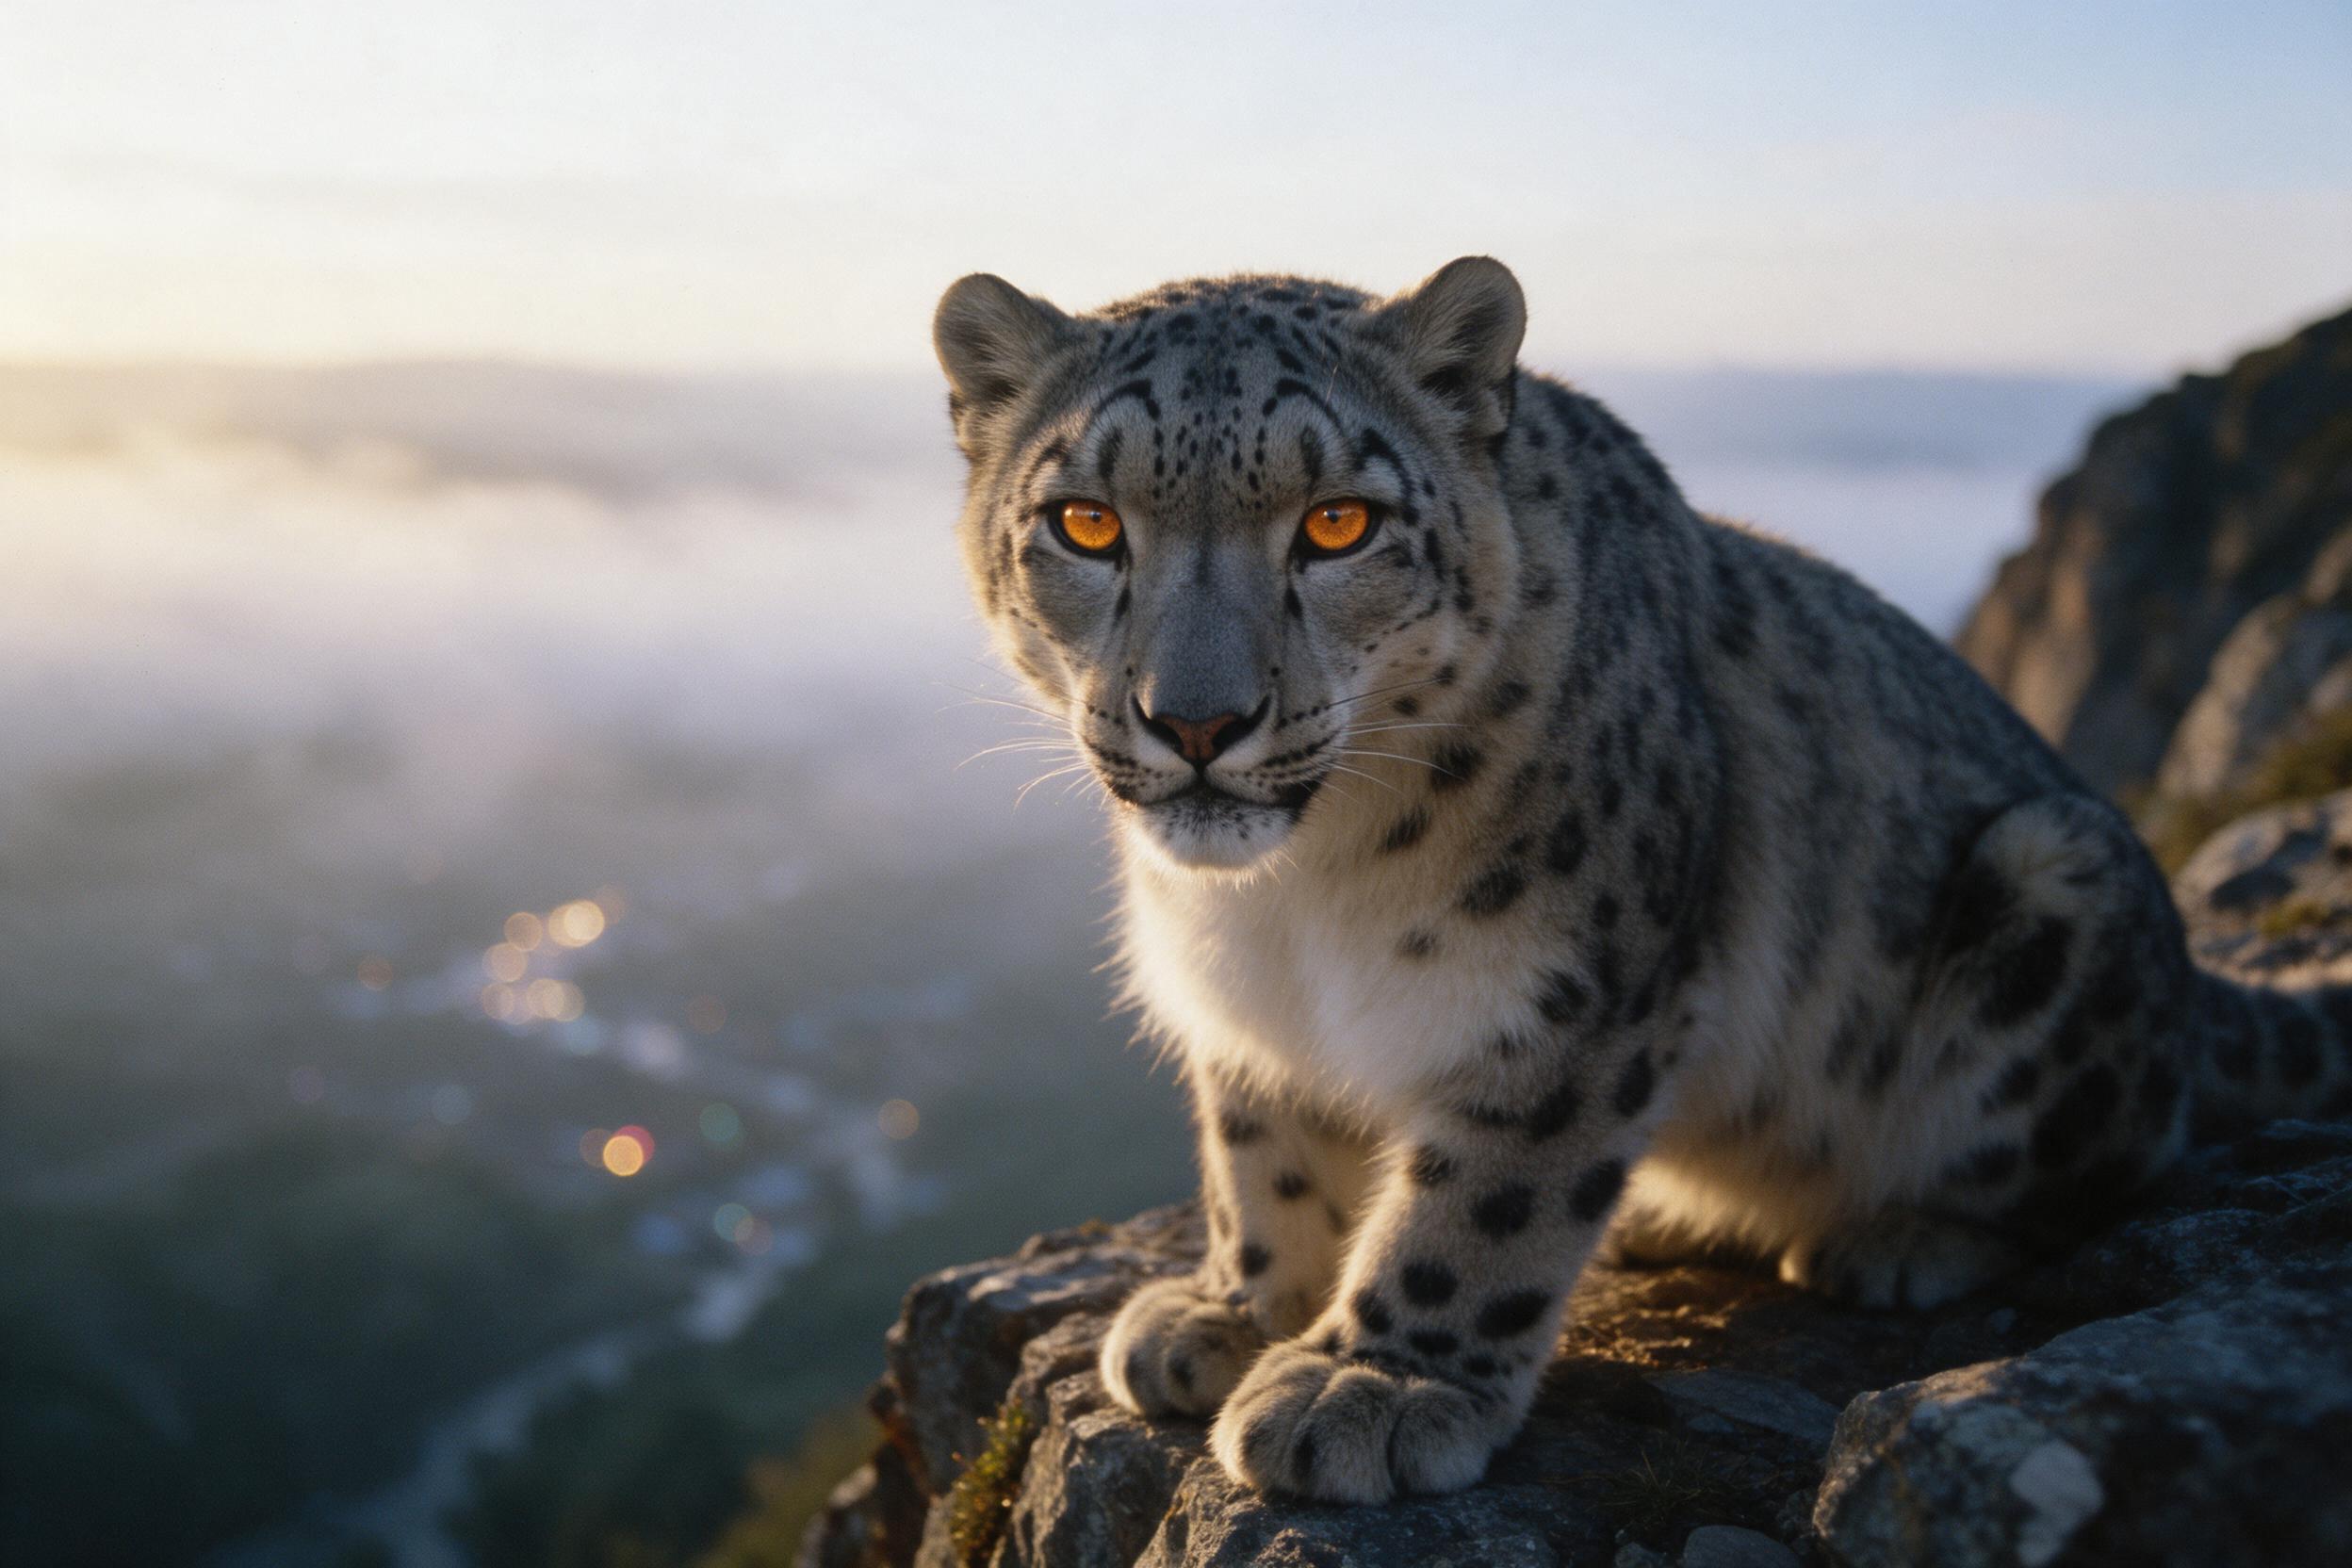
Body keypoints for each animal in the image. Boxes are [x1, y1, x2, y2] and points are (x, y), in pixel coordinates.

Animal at [929, 256, 2352, 1505]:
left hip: (2049, 889)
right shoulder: (1246, 1015)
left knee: (2107, 1156)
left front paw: (1372, 1387)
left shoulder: (1569, 995)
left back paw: (1892, 1239)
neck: (1291, 904)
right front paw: (1232, 1311)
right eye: (1087, 522)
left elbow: (1486, 1199)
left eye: (1339, 522)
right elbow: (1265, 1159)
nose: (1197, 722)